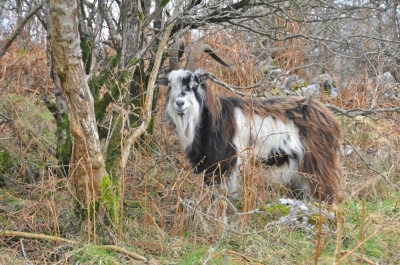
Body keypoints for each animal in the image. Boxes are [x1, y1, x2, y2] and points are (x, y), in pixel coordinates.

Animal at [156, 41, 344, 203]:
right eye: (170, 84)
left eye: (194, 84)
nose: (179, 103)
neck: (215, 119)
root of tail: (329, 117)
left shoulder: (228, 166)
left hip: (319, 168)